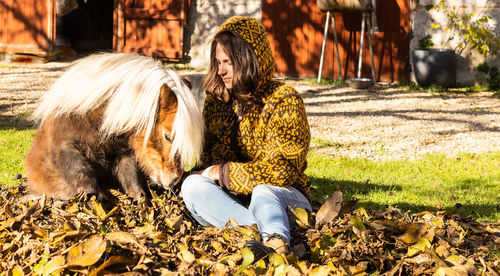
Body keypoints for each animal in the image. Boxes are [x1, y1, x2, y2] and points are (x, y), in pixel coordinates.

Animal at [24, 51, 204, 199]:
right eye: (167, 136)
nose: (174, 180)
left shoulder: (125, 156)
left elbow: (135, 187)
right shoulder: (67, 150)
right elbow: (86, 184)